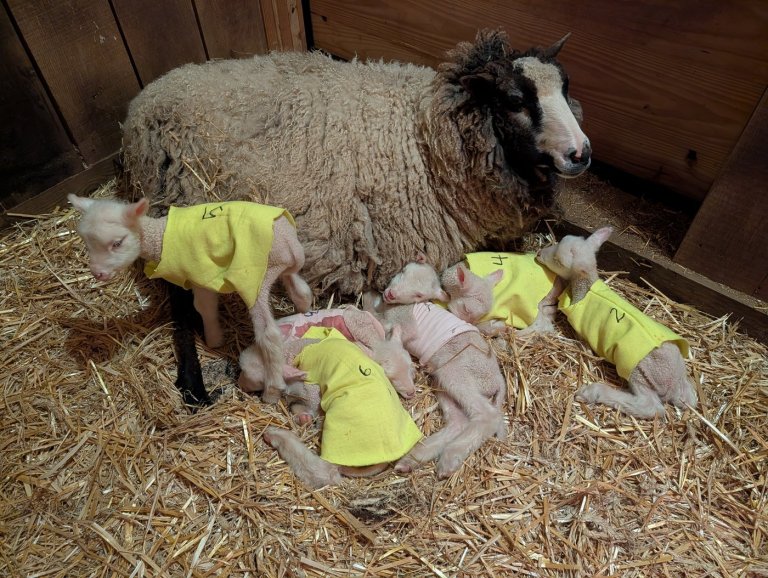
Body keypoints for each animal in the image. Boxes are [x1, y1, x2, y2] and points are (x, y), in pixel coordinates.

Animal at [67, 195, 313, 404]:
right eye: (87, 243)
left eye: (117, 243)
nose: (97, 273)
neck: (159, 237)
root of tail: (289, 242)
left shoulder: (199, 275)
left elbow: (204, 307)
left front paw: (214, 339)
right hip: (281, 268)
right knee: (302, 291)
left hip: (254, 279)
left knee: (269, 334)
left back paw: (273, 390)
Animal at [537, 227, 699, 418]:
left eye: (557, 261)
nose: (539, 253)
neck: (586, 289)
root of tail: (674, 384)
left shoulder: (582, 331)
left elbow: (584, 345)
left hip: (640, 373)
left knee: (650, 407)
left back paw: (592, 392)